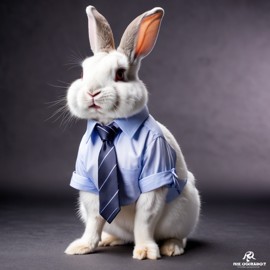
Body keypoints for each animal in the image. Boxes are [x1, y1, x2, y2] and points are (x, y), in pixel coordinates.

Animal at [65, 5, 200, 260]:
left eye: (120, 74)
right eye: (82, 73)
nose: (92, 92)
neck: (111, 126)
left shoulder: (154, 176)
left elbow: (144, 220)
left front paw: (146, 252)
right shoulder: (89, 183)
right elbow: (94, 219)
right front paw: (81, 247)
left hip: (184, 212)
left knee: (174, 235)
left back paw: (170, 247)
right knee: (121, 234)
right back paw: (109, 240)